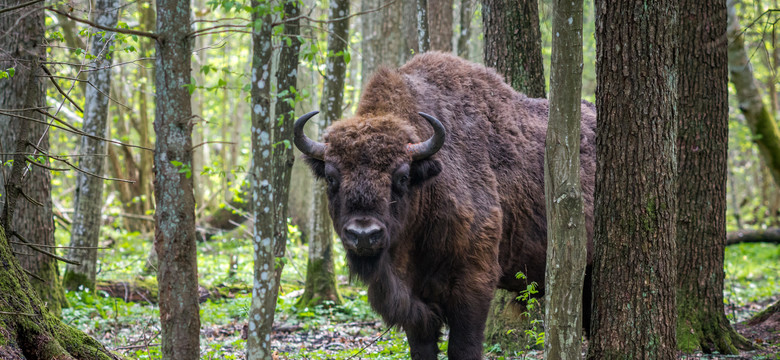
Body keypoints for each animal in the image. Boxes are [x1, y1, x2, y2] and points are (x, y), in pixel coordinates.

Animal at [296, 52, 596, 360]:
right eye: (331, 177)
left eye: (402, 176)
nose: (364, 235)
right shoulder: (415, 305)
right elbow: (422, 347)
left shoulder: (473, 283)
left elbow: (464, 346)